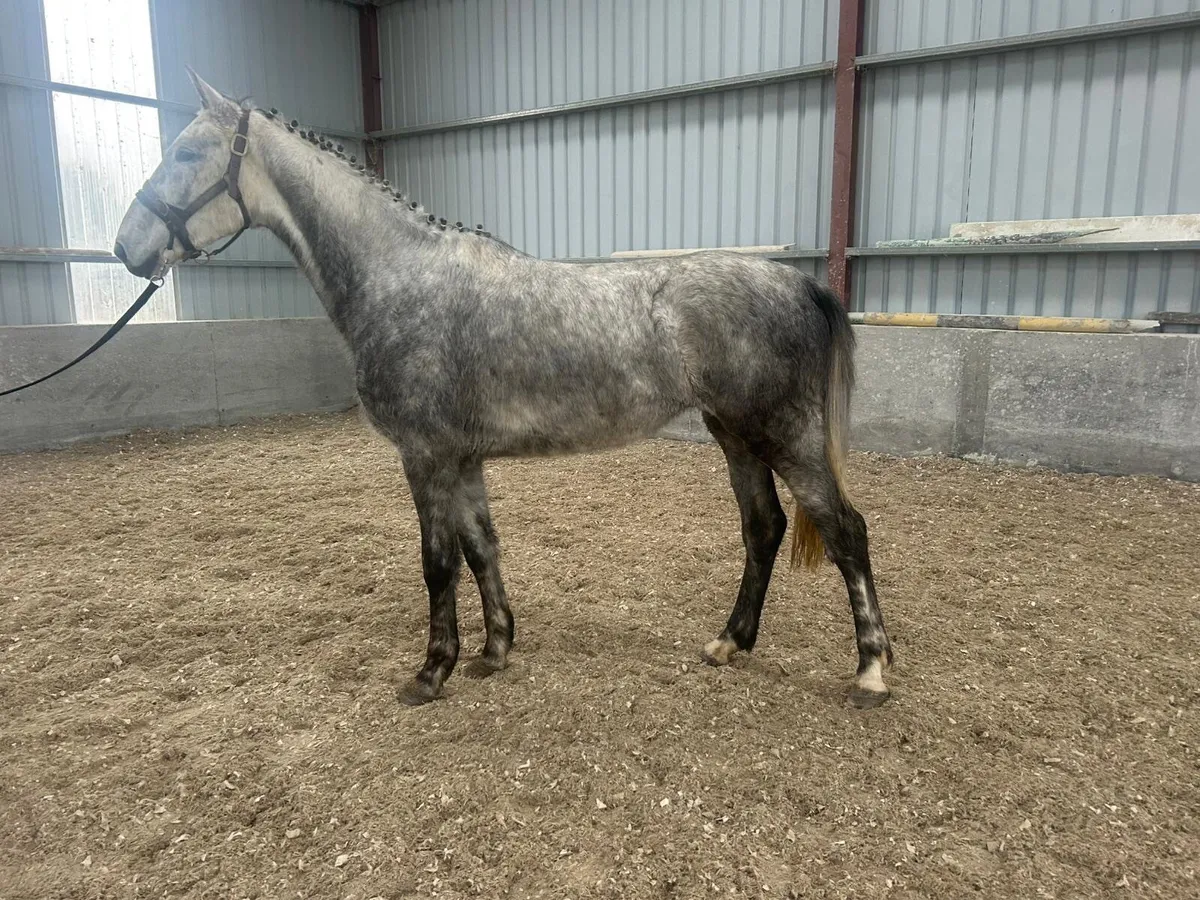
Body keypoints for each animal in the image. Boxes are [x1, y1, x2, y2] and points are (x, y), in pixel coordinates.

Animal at [114, 72, 894, 709]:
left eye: (186, 155)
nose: (126, 248)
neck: (401, 276)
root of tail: (794, 280)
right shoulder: (461, 459)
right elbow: (481, 548)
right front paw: (494, 650)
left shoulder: (425, 456)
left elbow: (437, 565)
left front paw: (431, 672)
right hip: (735, 435)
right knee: (764, 528)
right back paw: (731, 642)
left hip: (784, 437)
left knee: (846, 531)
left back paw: (871, 672)